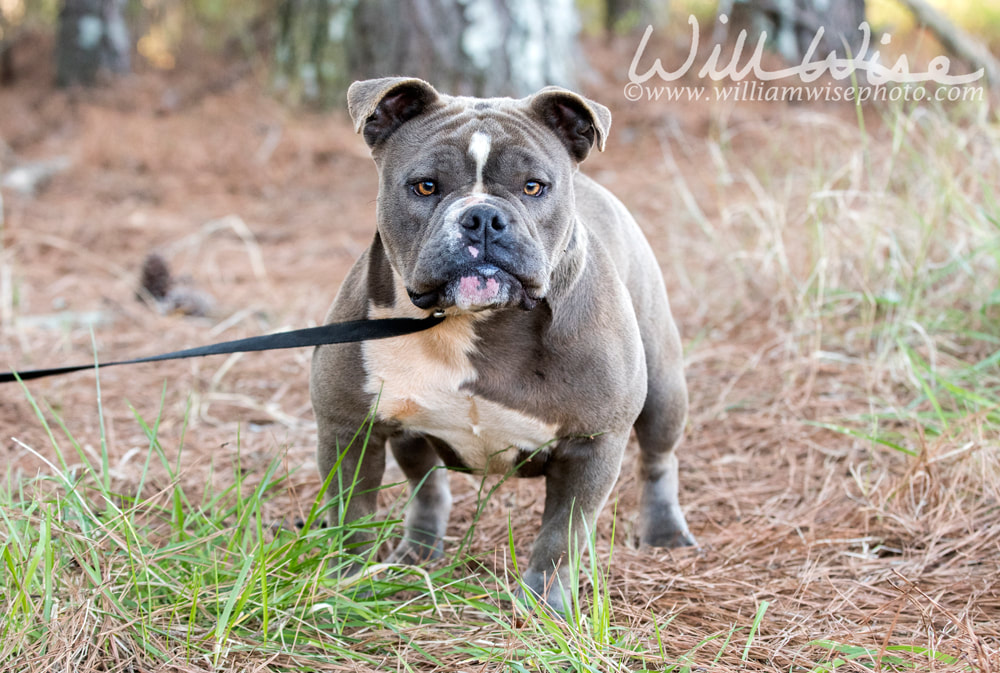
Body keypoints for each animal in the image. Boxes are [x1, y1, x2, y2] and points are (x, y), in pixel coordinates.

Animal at [308, 76, 692, 612]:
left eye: (534, 186)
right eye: (425, 185)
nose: (483, 217)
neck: (473, 322)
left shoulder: (592, 443)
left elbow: (561, 534)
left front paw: (545, 604)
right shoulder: (350, 431)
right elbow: (351, 519)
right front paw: (348, 586)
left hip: (662, 386)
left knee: (659, 457)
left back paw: (665, 534)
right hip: (408, 433)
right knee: (427, 485)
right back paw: (418, 551)